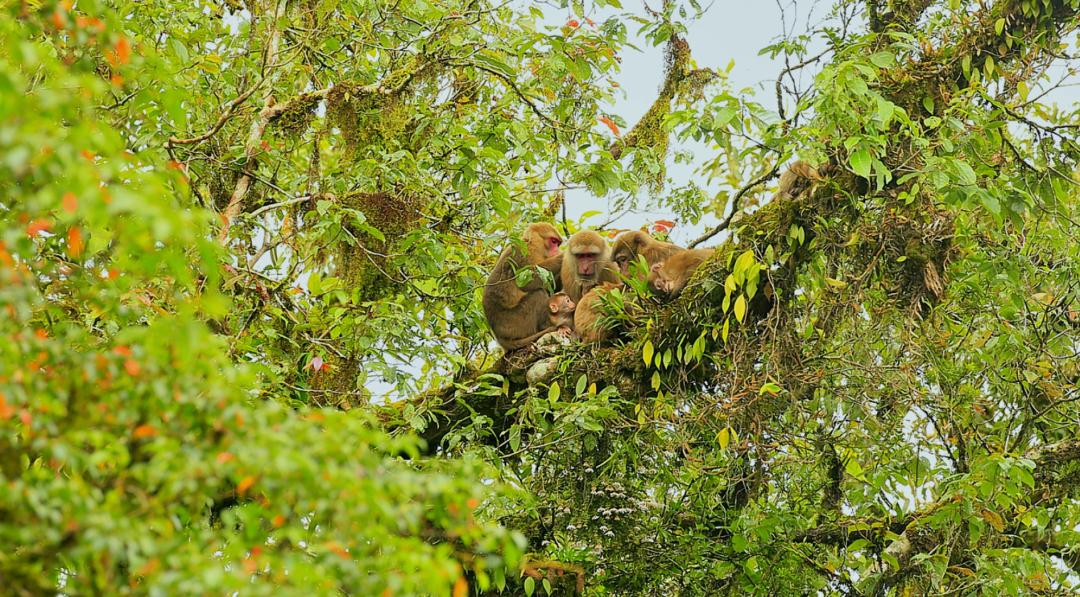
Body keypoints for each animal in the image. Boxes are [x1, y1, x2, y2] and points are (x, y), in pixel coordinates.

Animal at [481, 223, 565, 354]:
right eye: (553, 241)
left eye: (557, 243)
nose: (557, 250)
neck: (533, 245)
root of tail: (500, 338)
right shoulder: (524, 252)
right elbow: (527, 283)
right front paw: (564, 255)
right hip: (515, 324)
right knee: (538, 294)